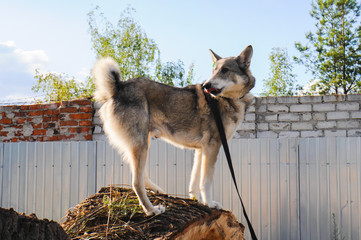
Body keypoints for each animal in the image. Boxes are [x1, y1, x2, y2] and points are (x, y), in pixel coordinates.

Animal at [93, 45, 256, 216]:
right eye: (214, 71)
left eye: (225, 70)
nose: (206, 85)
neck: (228, 99)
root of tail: (118, 87)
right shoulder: (213, 146)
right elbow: (206, 181)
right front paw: (210, 203)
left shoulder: (202, 149)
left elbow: (195, 180)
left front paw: (197, 200)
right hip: (141, 144)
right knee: (136, 183)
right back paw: (151, 210)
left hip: (140, 144)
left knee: (142, 177)